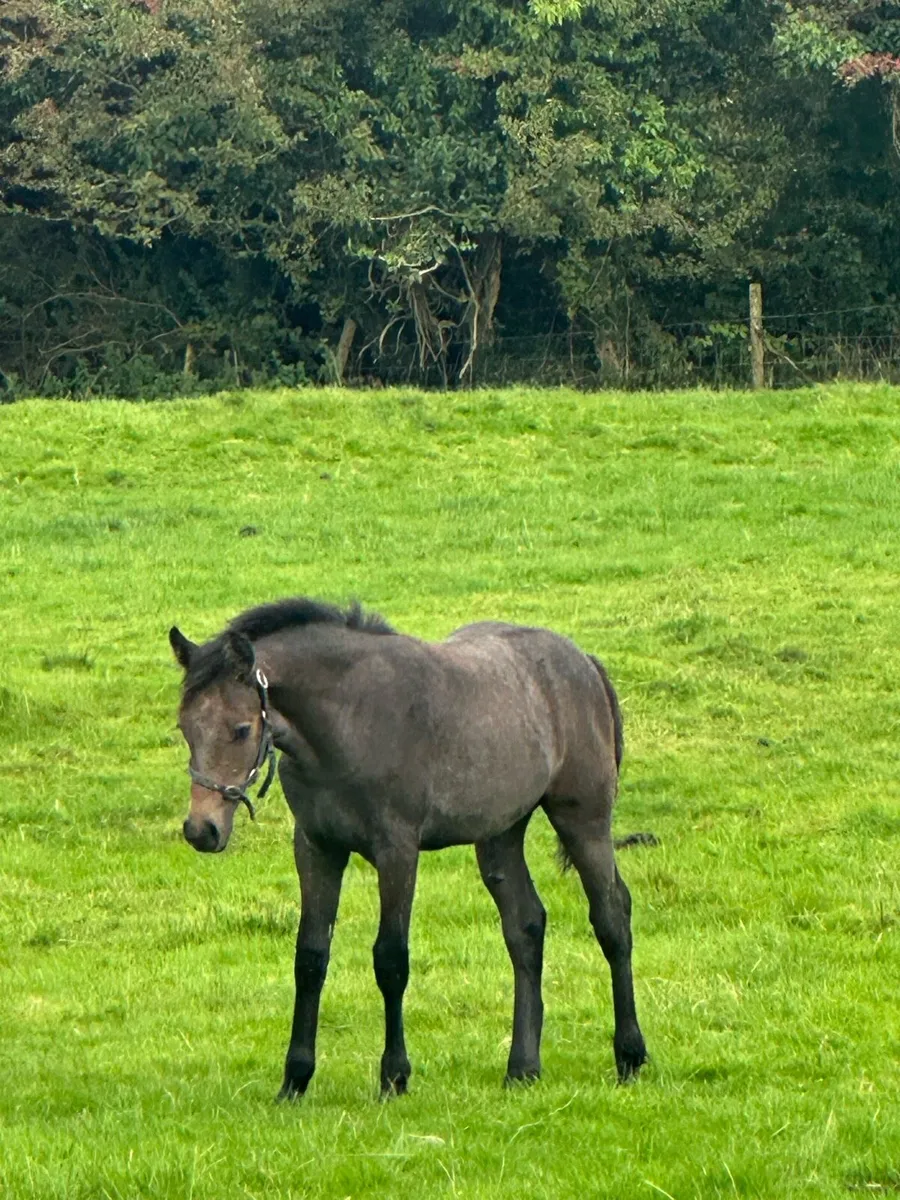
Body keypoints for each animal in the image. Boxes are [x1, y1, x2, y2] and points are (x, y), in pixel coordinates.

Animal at [169, 597, 649, 1098]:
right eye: (185, 727)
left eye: (242, 729)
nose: (202, 830)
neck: (351, 719)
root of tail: (585, 663)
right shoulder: (317, 848)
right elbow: (310, 957)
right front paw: (295, 1080)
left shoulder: (397, 850)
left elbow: (391, 959)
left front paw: (394, 1076)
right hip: (499, 834)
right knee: (525, 926)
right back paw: (522, 1068)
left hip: (583, 820)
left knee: (612, 916)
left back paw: (630, 1056)